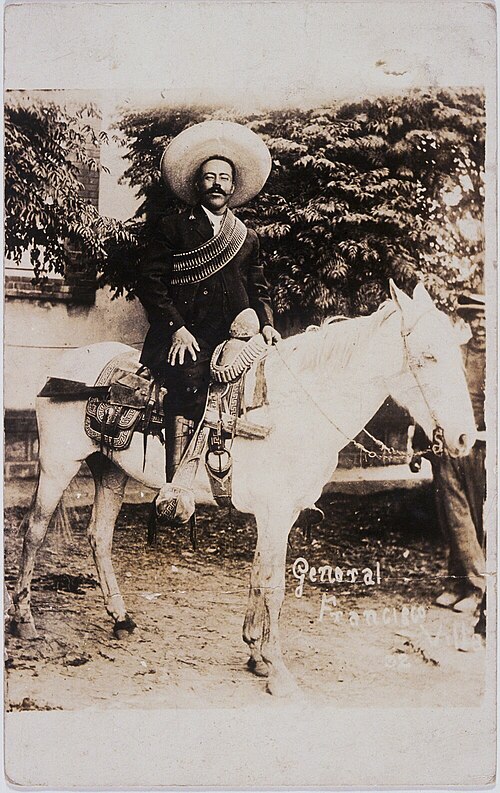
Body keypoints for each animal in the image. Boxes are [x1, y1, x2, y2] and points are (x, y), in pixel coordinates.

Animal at [9, 284, 474, 692]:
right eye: (429, 356)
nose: (465, 438)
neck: (289, 408)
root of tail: (67, 367)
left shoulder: (278, 516)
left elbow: (258, 576)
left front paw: (255, 653)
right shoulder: (276, 513)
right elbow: (273, 584)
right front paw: (278, 671)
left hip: (111, 471)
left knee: (99, 537)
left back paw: (120, 617)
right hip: (57, 466)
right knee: (33, 533)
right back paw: (24, 619)